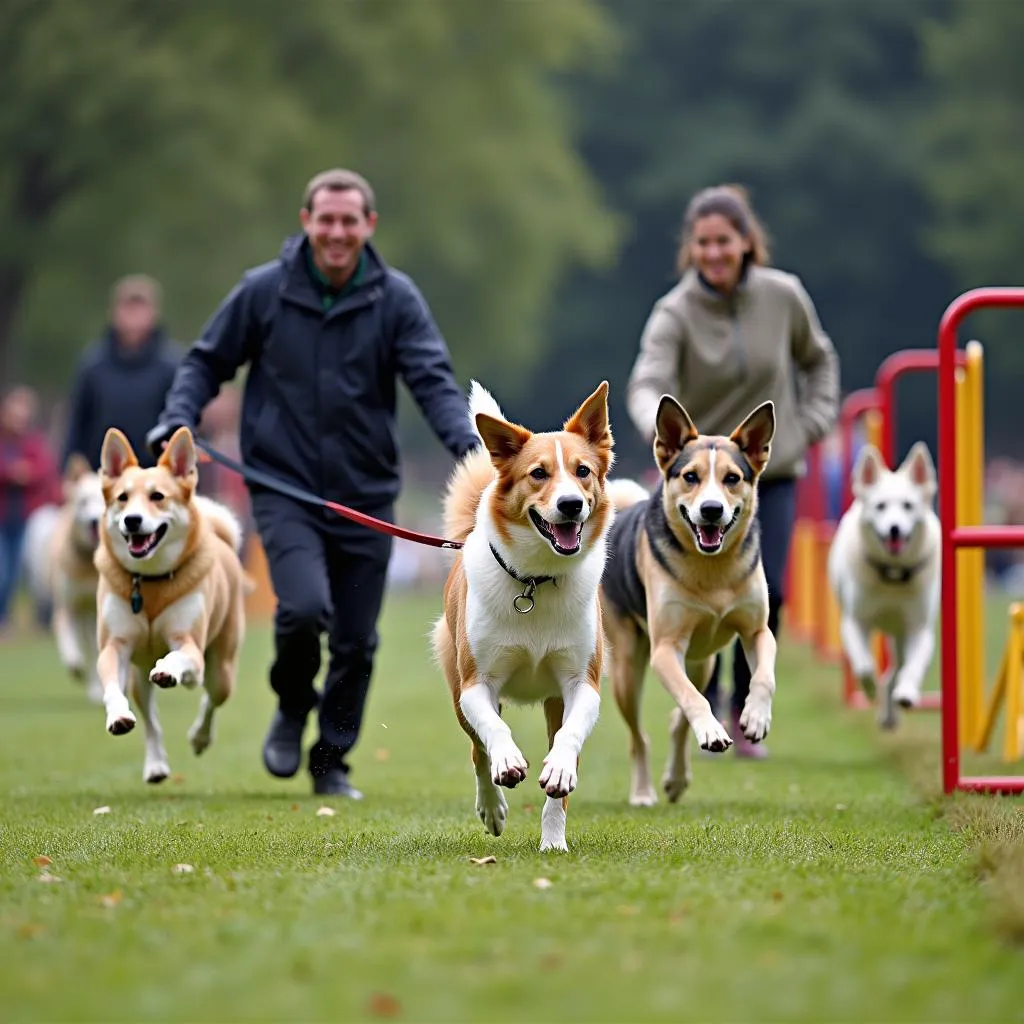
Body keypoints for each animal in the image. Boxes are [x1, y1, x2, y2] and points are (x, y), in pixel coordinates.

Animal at [96, 423, 247, 782]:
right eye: (122, 498)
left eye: (158, 497)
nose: (132, 520)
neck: (149, 583)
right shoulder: (114, 646)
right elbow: (112, 687)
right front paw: (117, 716)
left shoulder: (189, 642)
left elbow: (180, 657)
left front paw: (168, 669)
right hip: (138, 676)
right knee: (151, 721)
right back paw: (155, 765)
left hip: (221, 668)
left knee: (210, 696)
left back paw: (199, 735)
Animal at [434, 380, 614, 851]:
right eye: (538, 473)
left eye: (583, 471)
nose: (570, 505)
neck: (536, 579)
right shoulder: (477, 684)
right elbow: (495, 731)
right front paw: (509, 763)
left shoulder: (581, 683)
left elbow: (568, 740)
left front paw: (558, 777)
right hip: (456, 686)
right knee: (477, 749)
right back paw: (492, 807)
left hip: (554, 701)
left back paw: (553, 835)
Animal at [598, 399, 774, 806]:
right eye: (690, 477)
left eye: (732, 478)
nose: (711, 510)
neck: (713, 570)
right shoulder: (666, 647)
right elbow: (694, 700)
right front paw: (711, 731)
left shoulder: (757, 630)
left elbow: (764, 676)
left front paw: (756, 718)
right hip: (627, 666)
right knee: (640, 736)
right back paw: (644, 791)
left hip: (702, 661)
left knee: (678, 718)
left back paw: (677, 779)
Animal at [827, 440, 937, 729]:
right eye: (880, 506)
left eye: (908, 506)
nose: (894, 529)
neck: (893, 577)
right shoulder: (854, 623)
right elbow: (865, 665)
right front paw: (869, 691)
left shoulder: (918, 628)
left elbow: (913, 667)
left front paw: (907, 693)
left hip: (900, 636)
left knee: (895, 672)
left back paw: (892, 710)